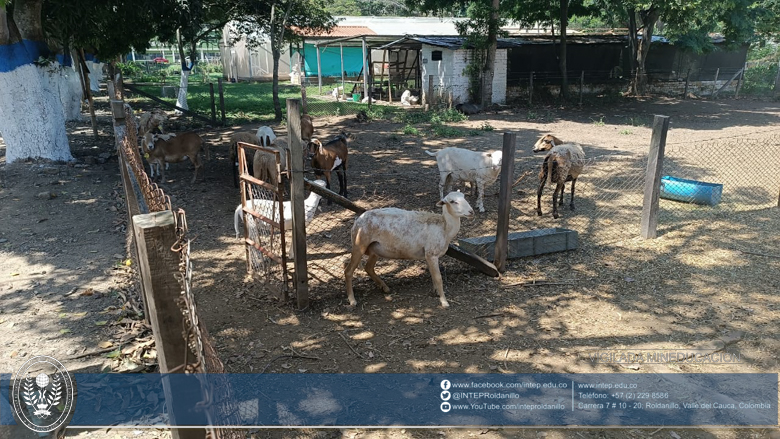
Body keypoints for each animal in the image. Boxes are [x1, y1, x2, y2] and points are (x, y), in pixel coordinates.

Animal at [342, 192, 476, 310]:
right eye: (453, 201)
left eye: (464, 197)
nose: (471, 212)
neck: (445, 228)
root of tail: (357, 221)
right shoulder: (431, 253)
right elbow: (438, 277)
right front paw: (444, 301)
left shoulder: (428, 255)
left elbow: (433, 275)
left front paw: (436, 292)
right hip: (359, 244)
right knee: (348, 271)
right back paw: (352, 300)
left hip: (375, 248)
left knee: (368, 267)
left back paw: (385, 288)